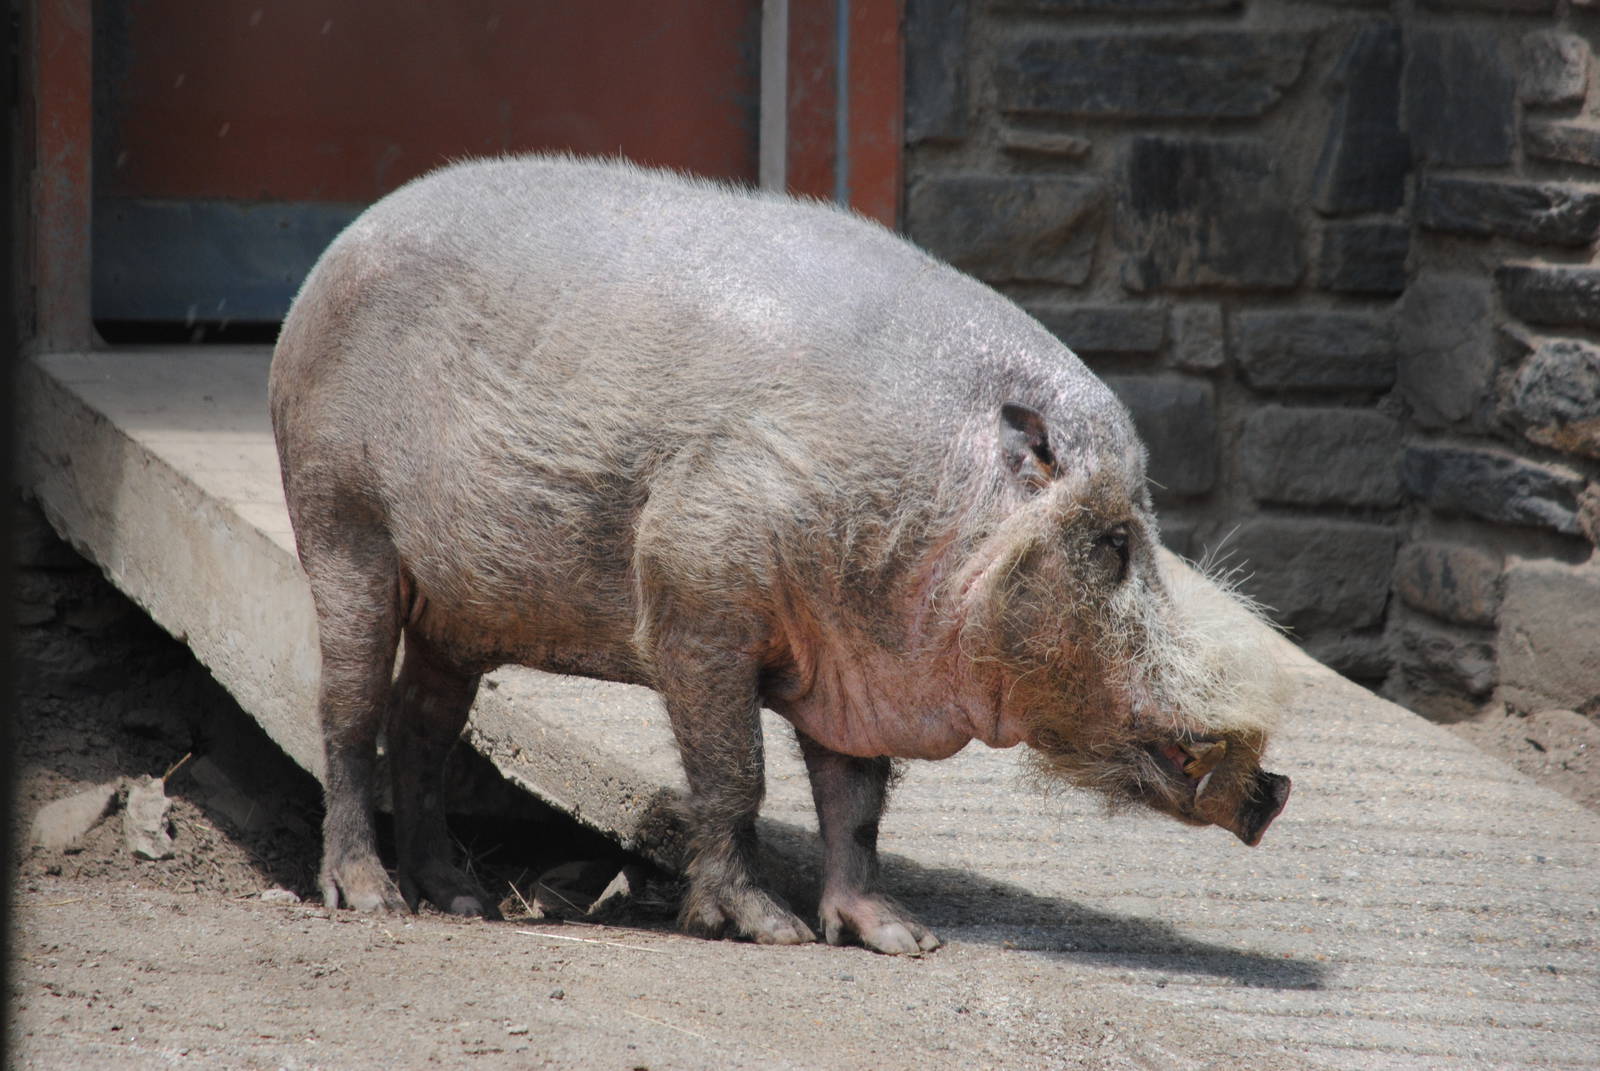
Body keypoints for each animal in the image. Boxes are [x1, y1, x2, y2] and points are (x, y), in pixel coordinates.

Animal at [269, 155, 1290, 955]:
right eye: (1113, 542)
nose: (1275, 787)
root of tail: (329, 260)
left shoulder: (855, 669)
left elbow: (858, 807)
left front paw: (904, 940)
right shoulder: (693, 585)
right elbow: (737, 774)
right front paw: (774, 931)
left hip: (456, 613)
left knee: (426, 726)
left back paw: (464, 901)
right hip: (339, 520)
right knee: (348, 711)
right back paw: (372, 898)